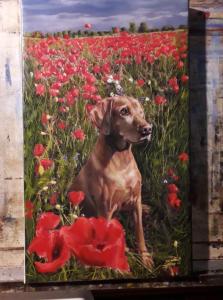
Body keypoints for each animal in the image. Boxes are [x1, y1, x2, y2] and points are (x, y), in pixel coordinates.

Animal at [69, 96, 153, 270]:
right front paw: (117, 268)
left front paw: (145, 257)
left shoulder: (136, 198)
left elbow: (140, 232)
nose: (148, 129)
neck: (121, 160)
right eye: (124, 111)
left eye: (141, 112)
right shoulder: (105, 209)